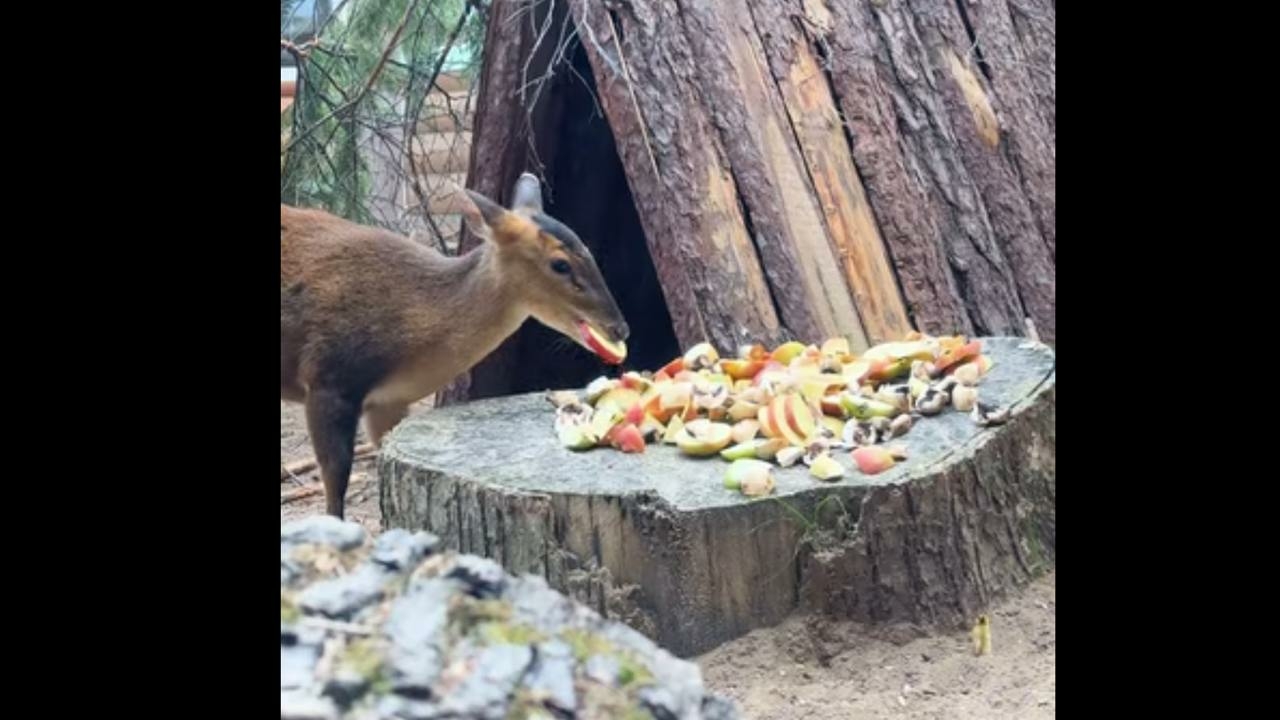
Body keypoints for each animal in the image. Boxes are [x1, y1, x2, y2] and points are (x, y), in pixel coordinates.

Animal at [280, 174, 629, 515]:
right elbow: (335, 486)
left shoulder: (388, 403)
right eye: (560, 264)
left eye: (589, 251)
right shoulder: (328, 376)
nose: (619, 328)